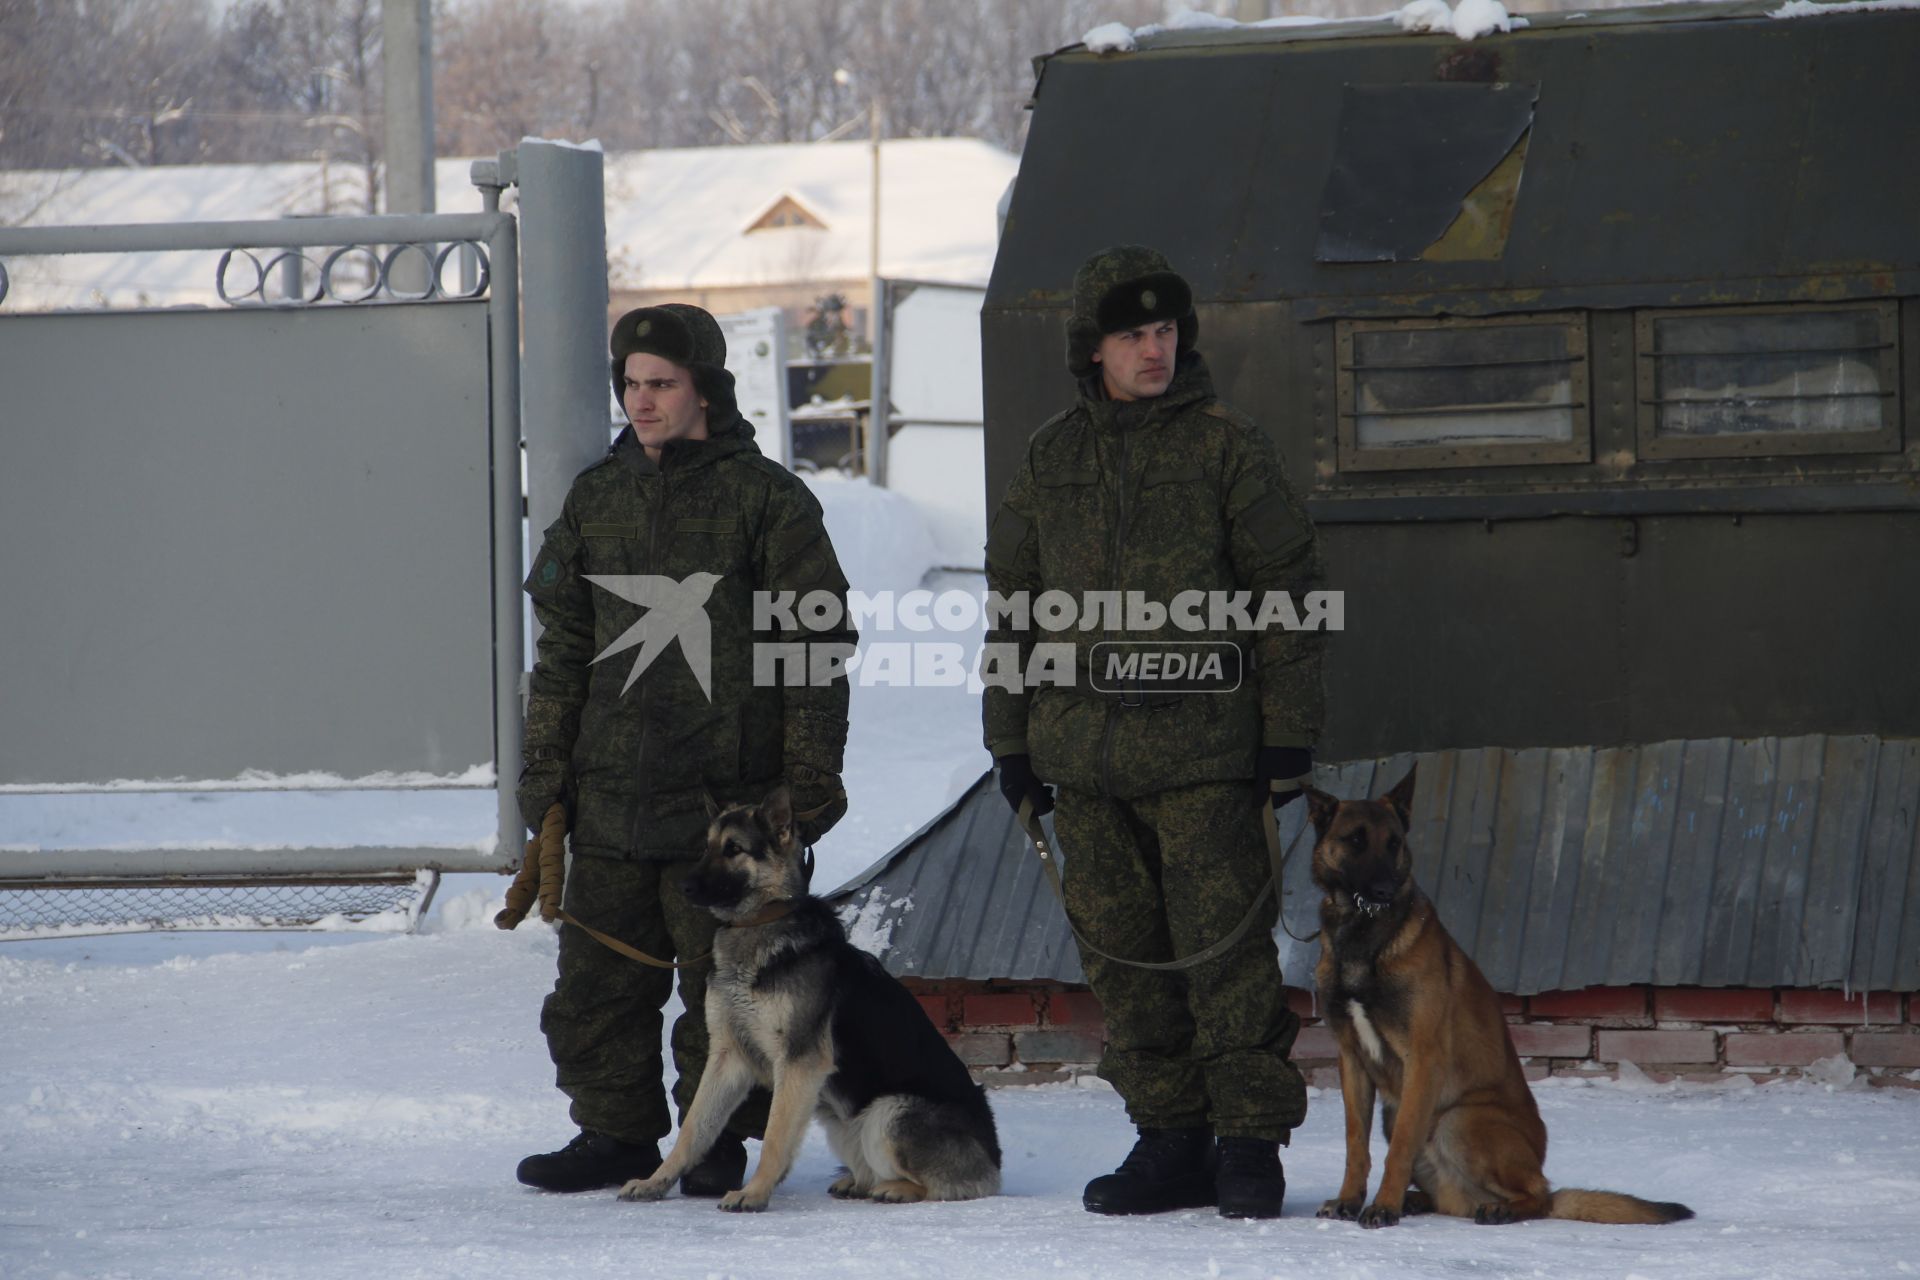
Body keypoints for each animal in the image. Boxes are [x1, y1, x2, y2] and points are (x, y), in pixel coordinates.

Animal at [618, 786, 1006, 1220]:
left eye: (734, 849)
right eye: (707, 847)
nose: (683, 886)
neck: (759, 925)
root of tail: (994, 1160)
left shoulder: (798, 1063)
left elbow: (774, 1137)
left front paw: (754, 1193)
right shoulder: (727, 1057)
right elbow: (693, 1129)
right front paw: (655, 1182)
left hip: (887, 1111)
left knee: (944, 1186)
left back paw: (896, 1189)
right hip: (841, 1120)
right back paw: (857, 1182)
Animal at [1305, 767, 1697, 1228]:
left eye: (1394, 843)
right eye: (1355, 840)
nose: (1386, 889)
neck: (1364, 937)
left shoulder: (1422, 1056)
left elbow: (1398, 1148)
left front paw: (1383, 1206)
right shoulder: (1351, 1059)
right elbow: (1355, 1144)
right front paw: (1348, 1200)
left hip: (1457, 1119)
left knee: (1539, 1197)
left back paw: (1497, 1209)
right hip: (1399, 1115)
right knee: (1449, 1198)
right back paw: (1421, 1200)